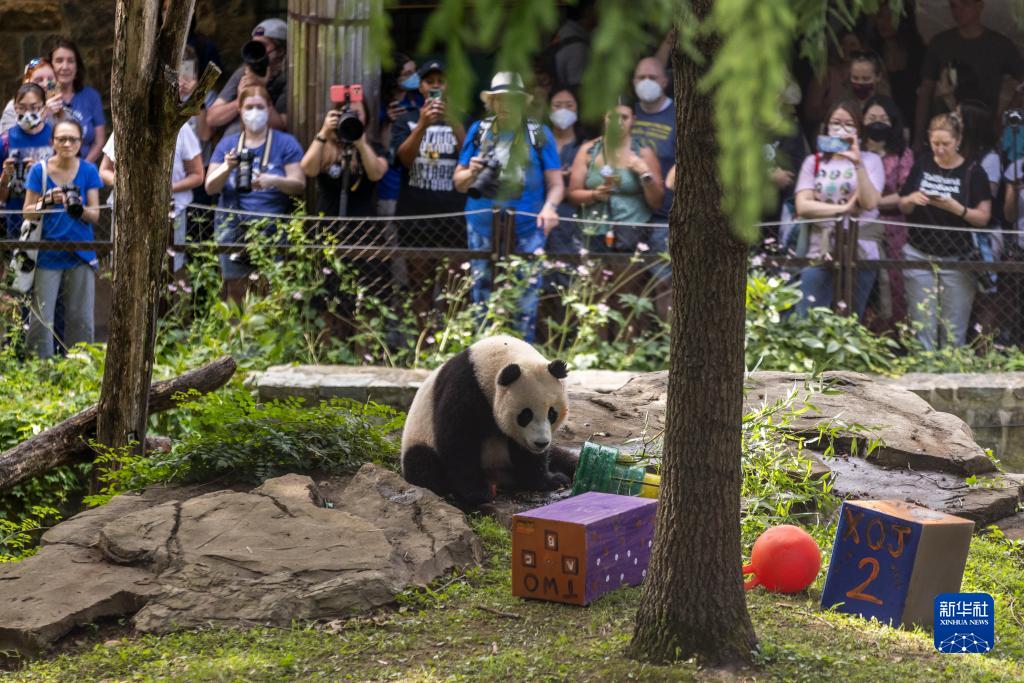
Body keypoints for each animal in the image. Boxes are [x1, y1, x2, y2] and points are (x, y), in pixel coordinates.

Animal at [399, 335, 577, 507]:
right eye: (525, 415)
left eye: (552, 413)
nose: (541, 443)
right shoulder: (465, 387)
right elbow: (458, 440)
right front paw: (477, 492)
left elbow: (526, 454)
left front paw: (551, 481)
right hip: (420, 439)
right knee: (424, 466)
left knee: (561, 456)